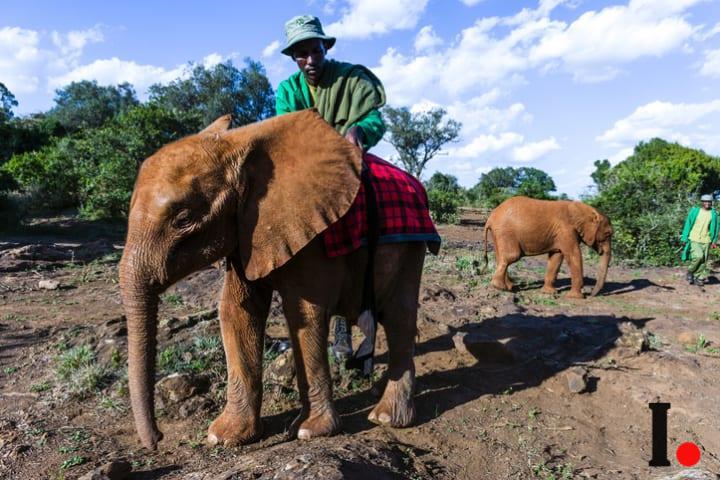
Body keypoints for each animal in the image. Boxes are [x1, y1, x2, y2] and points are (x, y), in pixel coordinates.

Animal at [118, 110, 434, 452]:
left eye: (183, 220)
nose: (157, 440)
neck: (239, 144)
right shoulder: (244, 231)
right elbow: (236, 312)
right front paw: (224, 437)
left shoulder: (310, 231)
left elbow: (304, 314)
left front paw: (310, 432)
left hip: (411, 244)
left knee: (399, 315)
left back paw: (387, 417)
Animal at [484, 195, 612, 296]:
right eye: (607, 234)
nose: (591, 294)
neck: (583, 209)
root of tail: (490, 218)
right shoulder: (566, 230)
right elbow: (573, 255)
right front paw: (575, 297)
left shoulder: (560, 234)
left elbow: (556, 257)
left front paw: (549, 293)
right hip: (505, 232)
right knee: (511, 256)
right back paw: (500, 287)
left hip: (497, 234)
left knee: (500, 256)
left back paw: (509, 287)